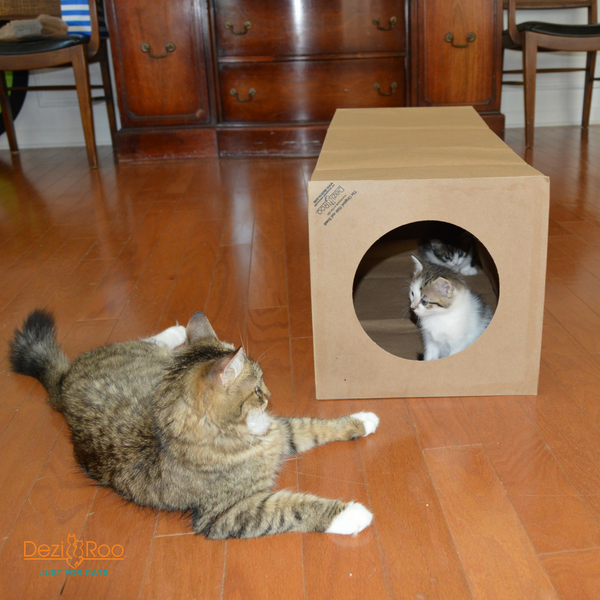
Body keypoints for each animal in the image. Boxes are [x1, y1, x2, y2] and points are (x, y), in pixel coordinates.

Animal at [9, 310, 378, 540]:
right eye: (258, 389)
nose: (270, 395)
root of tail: (63, 384)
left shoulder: (280, 431)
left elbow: (314, 426)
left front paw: (364, 419)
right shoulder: (227, 513)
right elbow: (294, 509)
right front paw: (351, 515)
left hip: (149, 355)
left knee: (155, 341)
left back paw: (177, 330)